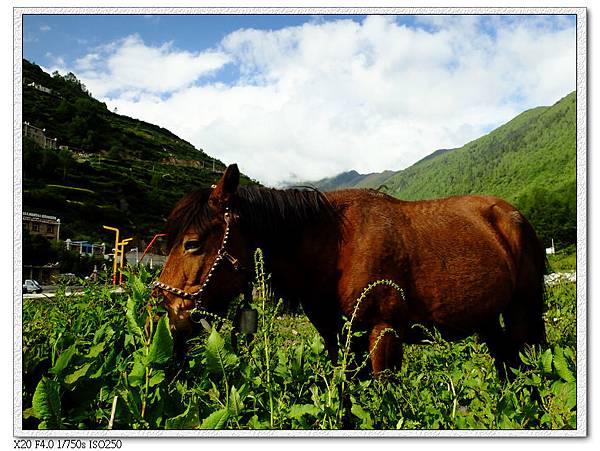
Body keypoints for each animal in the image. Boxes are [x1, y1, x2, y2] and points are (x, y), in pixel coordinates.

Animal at [152, 164, 548, 376]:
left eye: (192, 244)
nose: (170, 314)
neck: (334, 247)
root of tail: (514, 216)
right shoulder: (338, 341)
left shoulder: (384, 333)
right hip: (488, 320)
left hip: (523, 312)